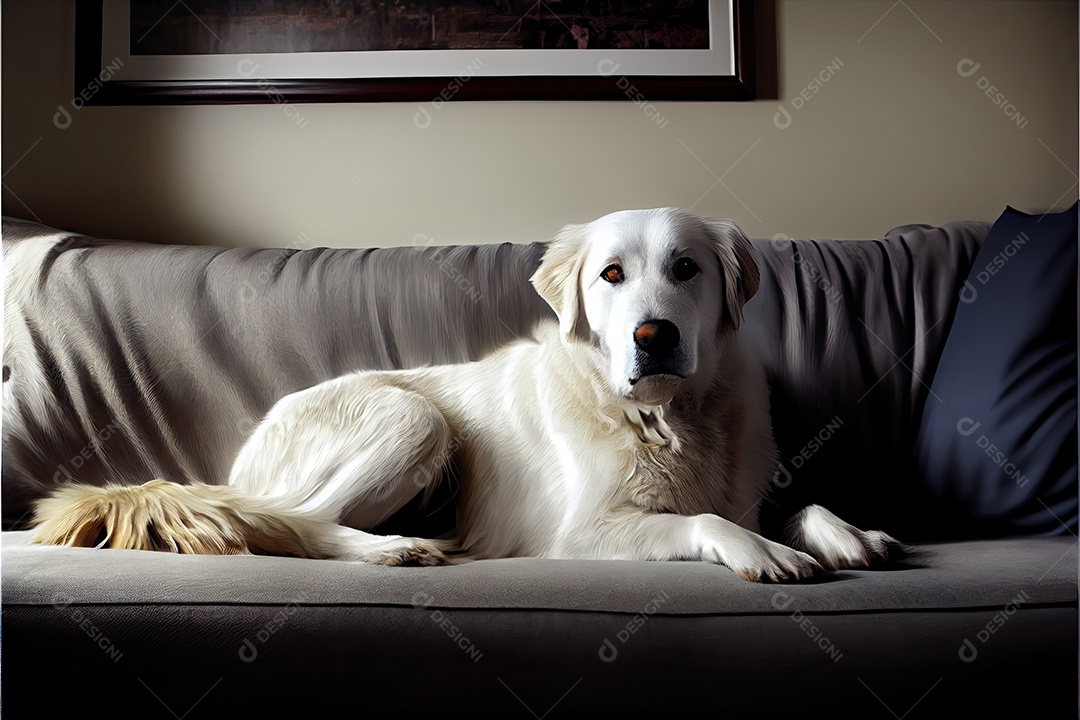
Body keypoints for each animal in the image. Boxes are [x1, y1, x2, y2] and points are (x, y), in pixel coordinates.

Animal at [31, 207, 902, 578]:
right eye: (611, 275)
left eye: (685, 269)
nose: (654, 336)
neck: (666, 416)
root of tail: (234, 471)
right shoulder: (580, 532)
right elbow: (706, 519)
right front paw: (764, 553)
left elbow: (791, 503)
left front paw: (845, 532)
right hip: (411, 417)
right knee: (296, 526)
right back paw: (393, 548)